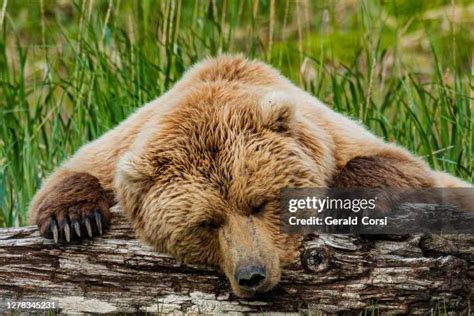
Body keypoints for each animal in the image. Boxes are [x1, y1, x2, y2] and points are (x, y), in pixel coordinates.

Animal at [27, 55, 468, 298]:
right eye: (206, 222)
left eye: (259, 203)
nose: (252, 276)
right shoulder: (121, 146)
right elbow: (72, 172)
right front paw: (73, 220)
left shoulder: (337, 137)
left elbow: (403, 168)